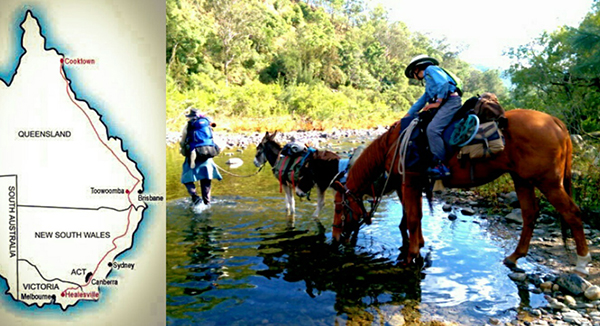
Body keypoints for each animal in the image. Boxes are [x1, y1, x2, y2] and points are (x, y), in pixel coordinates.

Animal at [332, 109, 592, 276]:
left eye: (338, 208)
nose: (334, 239)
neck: (394, 144)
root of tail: (556, 122)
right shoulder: (410, 184)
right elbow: (413, 217)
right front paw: (417, 245)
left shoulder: (410, 182)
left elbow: (413, 218)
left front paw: (411, 255)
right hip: (523, 179)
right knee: (530, 214)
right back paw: (514, 256)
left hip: (548, 182)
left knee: (572, 213)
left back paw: (582, 263)